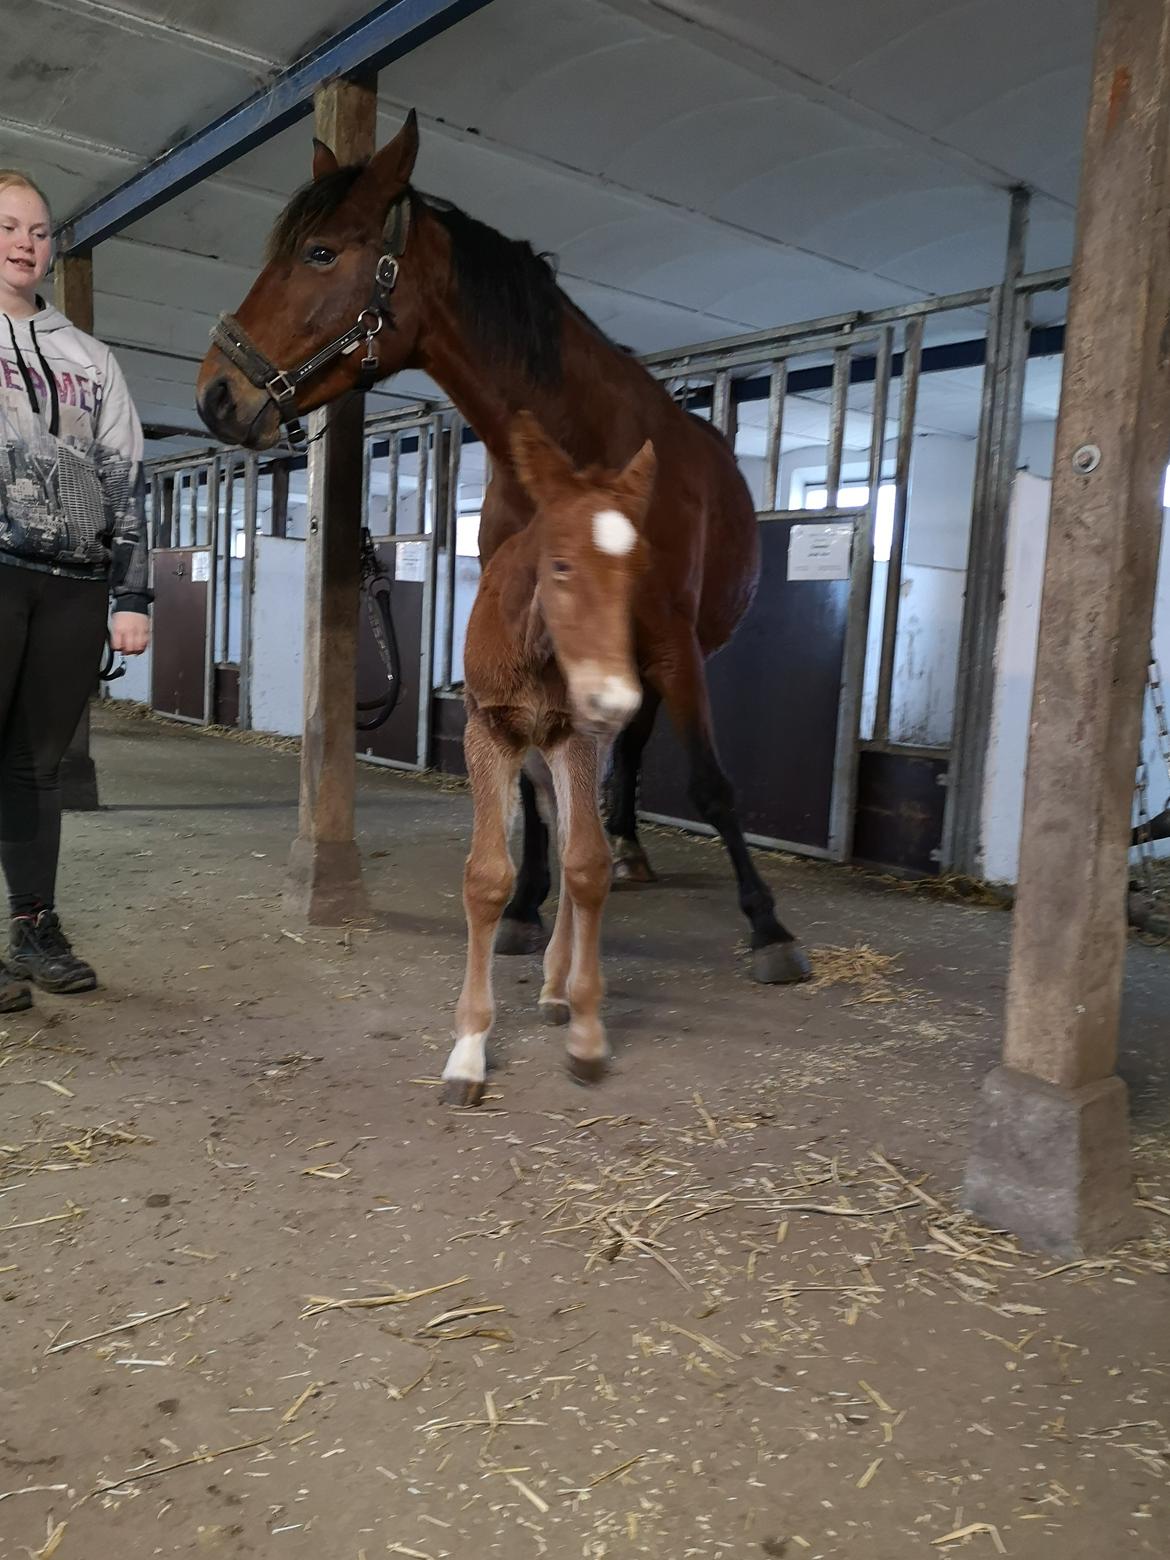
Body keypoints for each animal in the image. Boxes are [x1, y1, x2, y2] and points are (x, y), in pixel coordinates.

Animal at [197, 113, 811, 985]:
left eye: (319, 252)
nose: (216, 395)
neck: (583, 445)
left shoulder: (672, 636)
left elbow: (711, 783)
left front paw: (767, 926)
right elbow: (527, 780)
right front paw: (524, 904)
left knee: (641, 742)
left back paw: (629, 847)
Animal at [443, 408, 655, 1104]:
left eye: (638, 570)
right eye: (560, 566)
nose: (615, 699)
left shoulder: (576, 736)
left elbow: (588, 864)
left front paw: (587, 1032)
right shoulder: (490, 731)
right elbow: (487, 875)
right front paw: (467, 1052)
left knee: (569, 844)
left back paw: (558, 988)